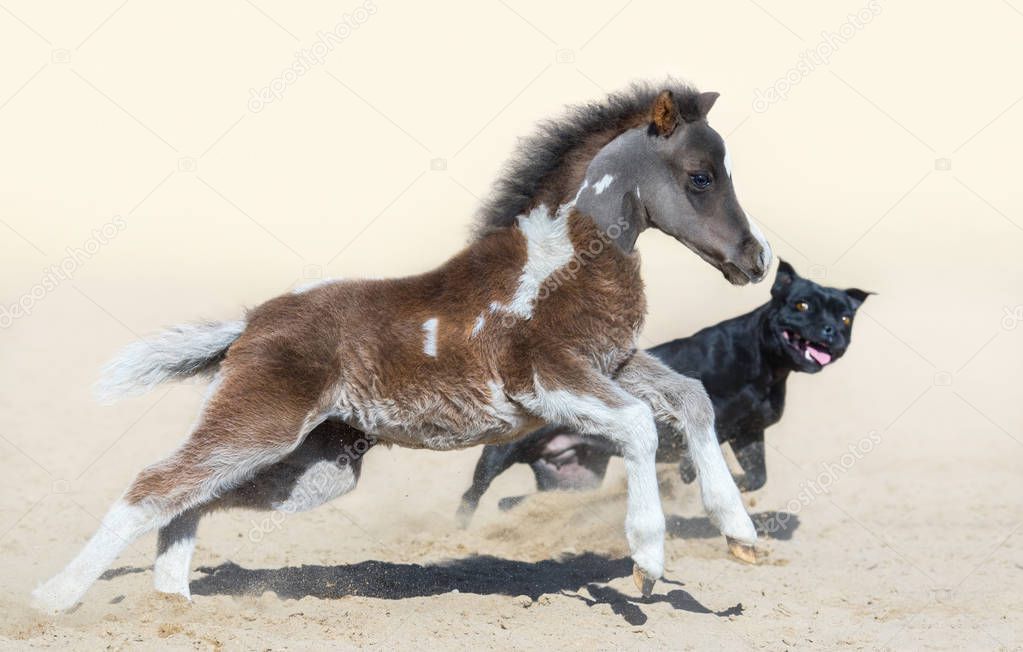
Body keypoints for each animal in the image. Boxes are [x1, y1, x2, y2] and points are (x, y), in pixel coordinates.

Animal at [29, 82, 769, 610]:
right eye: (701, 177)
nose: (755, 259)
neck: (562, 260)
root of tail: (250, 323)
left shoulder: (612, 364)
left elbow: (691, 399)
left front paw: (739, 534)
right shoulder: (550, 380)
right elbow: (642, 425)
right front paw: (647, 562)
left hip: (316, 467)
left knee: (196, 495)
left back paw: (172, 600)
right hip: (260, 423)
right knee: (156, 484)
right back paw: (54, 599)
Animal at [460, 258, 867, 524]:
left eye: (845, 316)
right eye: (802, 305)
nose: (831, 330)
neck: (767, 366)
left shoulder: (749, 432)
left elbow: (756, 476)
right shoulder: (717, 421)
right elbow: (699, 451)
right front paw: (687, 474)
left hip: (574, 479)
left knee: (521, 500)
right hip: (499, 456)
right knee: (472, 494)